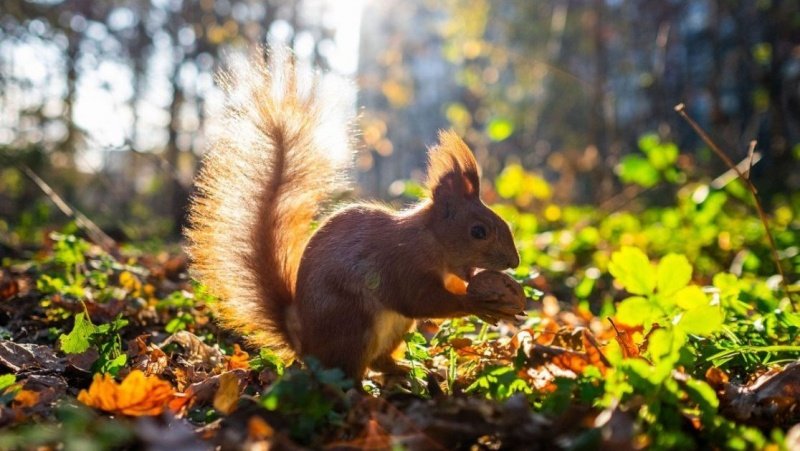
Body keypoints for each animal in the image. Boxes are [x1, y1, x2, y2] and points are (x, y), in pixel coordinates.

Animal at [187, 50, 524, 382]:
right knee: (347, 375)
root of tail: (304, 345)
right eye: (478, 231)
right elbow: (418, 299)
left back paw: (406, 371)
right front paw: (478, 302)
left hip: (395, 328)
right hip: (354, 323)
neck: (429, 239)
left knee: (377, 362)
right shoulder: (401, 263)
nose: (514, 262)